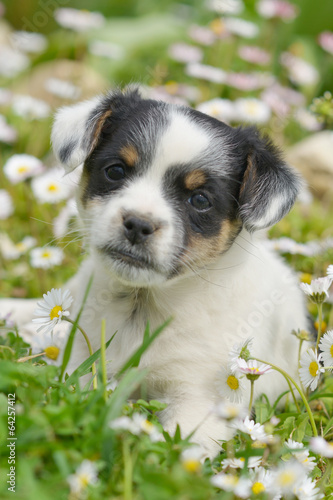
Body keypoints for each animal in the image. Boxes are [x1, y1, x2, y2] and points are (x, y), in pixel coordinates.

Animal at [7, 89, 308, 458]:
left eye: (200, 200)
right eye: (115, 171)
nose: (138, 223)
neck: (143, 306)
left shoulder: (199, 401)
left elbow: (178, 451)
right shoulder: (80, 361)